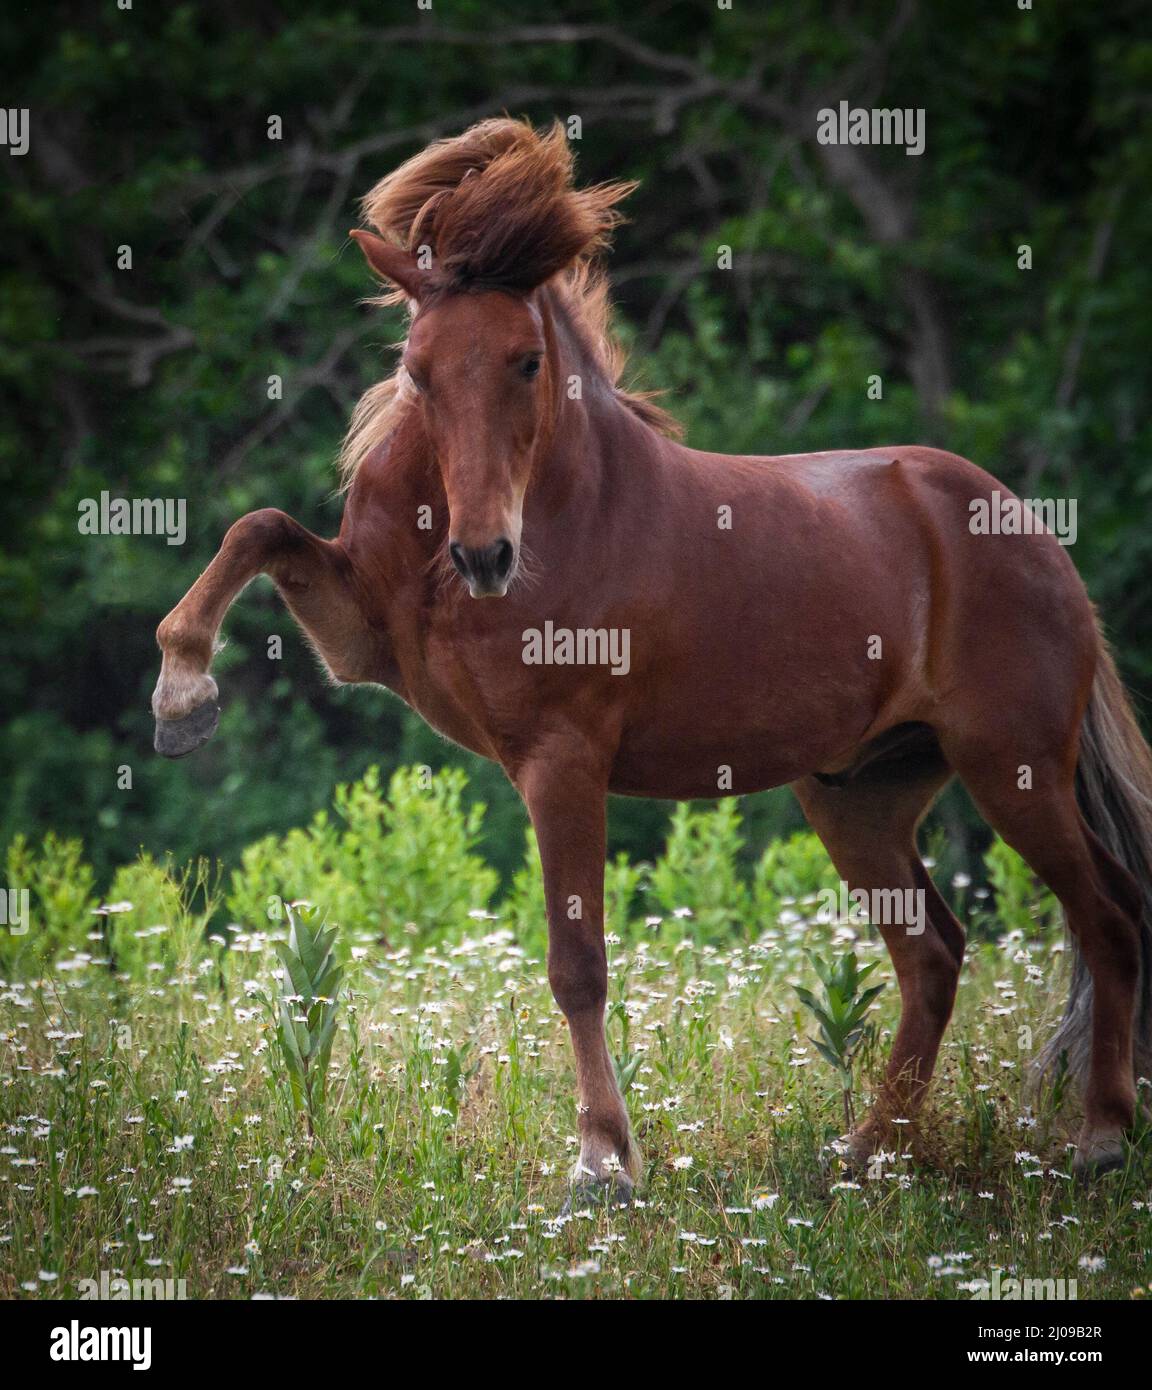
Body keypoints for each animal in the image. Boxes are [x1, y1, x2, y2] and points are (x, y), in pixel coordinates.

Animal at [152, 117, 1152, 1201]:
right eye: (416, 368)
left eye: (526, 362)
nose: (483, 555)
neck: (556, 510)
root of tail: (1030, 530)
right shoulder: (354, 637)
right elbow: (259, 527)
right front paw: (182, 696)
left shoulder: (563, 760)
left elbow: (577, 962)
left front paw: (603, 1161)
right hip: (860, 796)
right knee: (933, 952)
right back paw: (866, 1152)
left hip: (1011, 767)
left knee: (1106, 916)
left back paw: (1097, 1139)